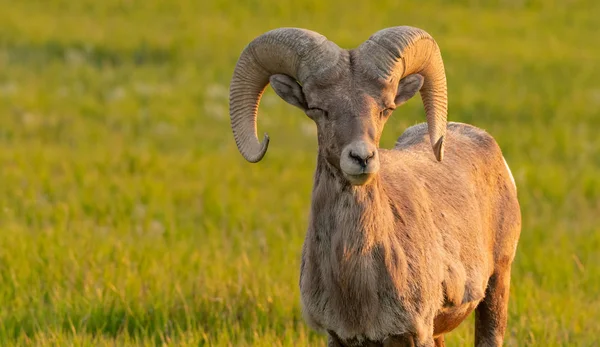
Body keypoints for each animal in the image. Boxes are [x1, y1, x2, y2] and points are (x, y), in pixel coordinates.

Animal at [230, 25, 520, 346]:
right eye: (318, 108)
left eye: (385, 108)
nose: (362, 157)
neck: (356, 278)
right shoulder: (338, 337)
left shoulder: (414, 334)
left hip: (497, 284)